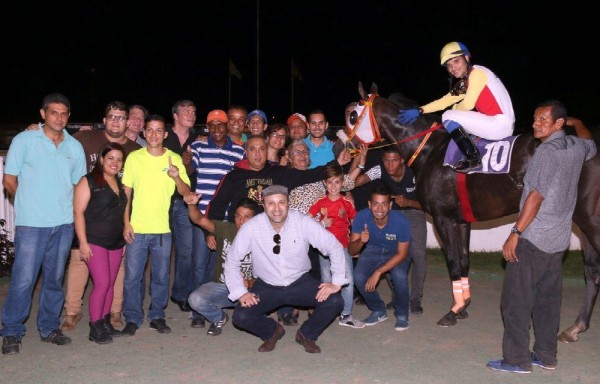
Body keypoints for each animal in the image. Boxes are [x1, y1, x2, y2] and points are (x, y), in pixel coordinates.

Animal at [342, 82, 600, 340]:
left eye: (352, 115)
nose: (345, 148)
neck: (430, 150)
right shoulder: (461, 220)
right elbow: (464, 261)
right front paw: (463, 305)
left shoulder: (443, 219)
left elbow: (454, 263)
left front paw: (453, 310)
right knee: (592, 271)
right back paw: (576, 326)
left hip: (591, 219)